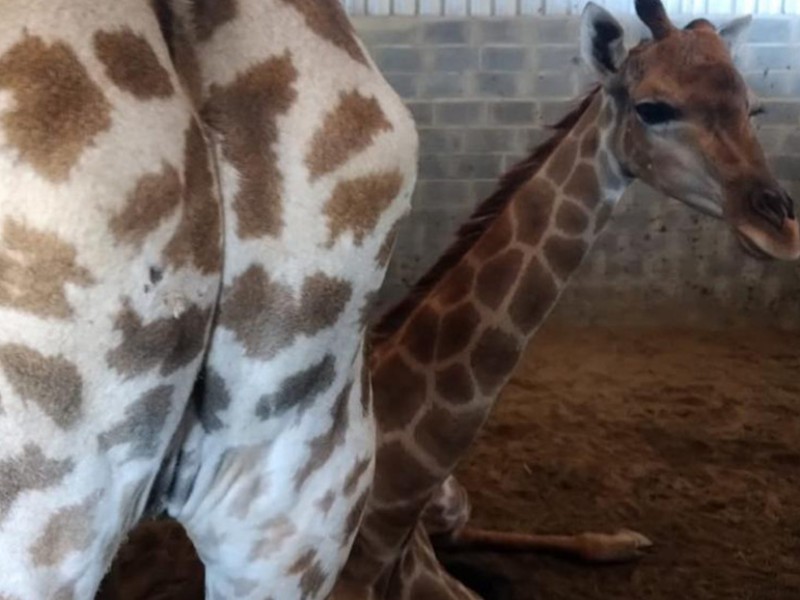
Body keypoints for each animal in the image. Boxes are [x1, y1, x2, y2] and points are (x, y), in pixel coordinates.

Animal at [332, 2, 800, 596]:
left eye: (753, 107)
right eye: (652, 108)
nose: (781, 229)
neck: (385, 523)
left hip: (455, 501)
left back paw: (617, 541)